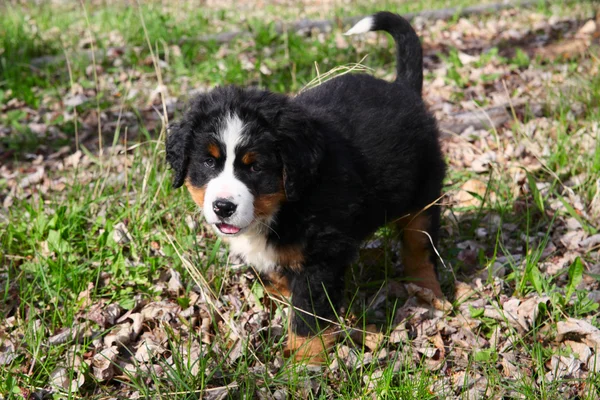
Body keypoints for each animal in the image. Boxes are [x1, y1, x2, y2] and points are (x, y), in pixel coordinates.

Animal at [166, 12, 448, 362]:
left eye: (255, 166)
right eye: (208, 162)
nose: (223, 207)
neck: (285, 205)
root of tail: (403, 88)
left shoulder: (321, 254)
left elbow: (308, 313)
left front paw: (303, 362)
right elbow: (281, 279)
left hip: (424, 193)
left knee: (420, 245)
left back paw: (427, 291)